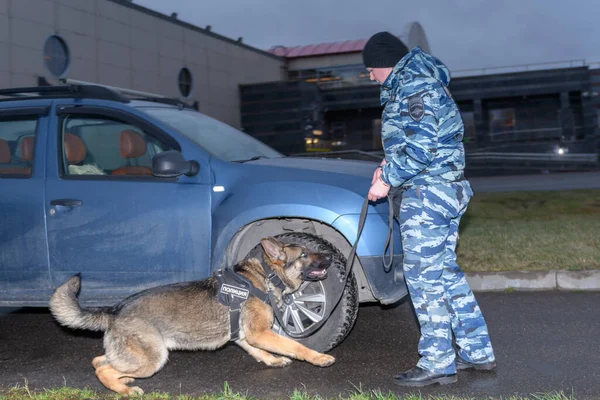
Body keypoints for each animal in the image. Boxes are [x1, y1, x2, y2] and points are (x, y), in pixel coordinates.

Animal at [49, 236, 336, 396]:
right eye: (304, 254)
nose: (332, 254)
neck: (266, 277)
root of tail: (115, 310)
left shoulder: (246, 336)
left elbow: (260, 352)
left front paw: (273, 360)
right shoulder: (259, 333)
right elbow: (295, 345)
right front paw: (318, 358)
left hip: (132, 355)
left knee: (99, 361)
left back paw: (123, 381)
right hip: (153, 359)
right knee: (103, 369)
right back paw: (126, 390)